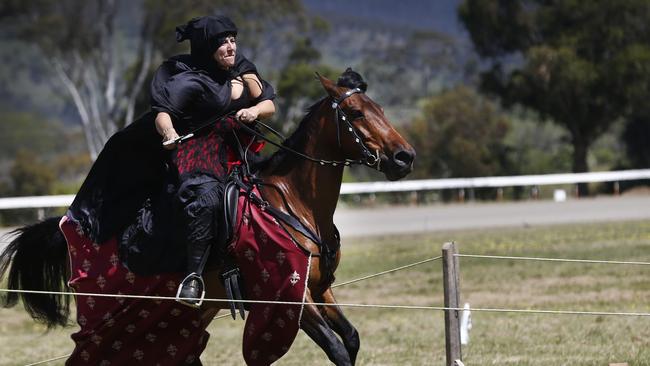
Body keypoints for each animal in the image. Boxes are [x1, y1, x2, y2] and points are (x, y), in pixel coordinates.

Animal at [0, 71, 412, 366]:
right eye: (356, 113)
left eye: (381, 109)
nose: (405, 157)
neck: (295, 204)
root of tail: (71, 226)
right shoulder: (286, 297)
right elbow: (337, 348)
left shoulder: (320, 288)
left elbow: (351, 339)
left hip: (164, 322)